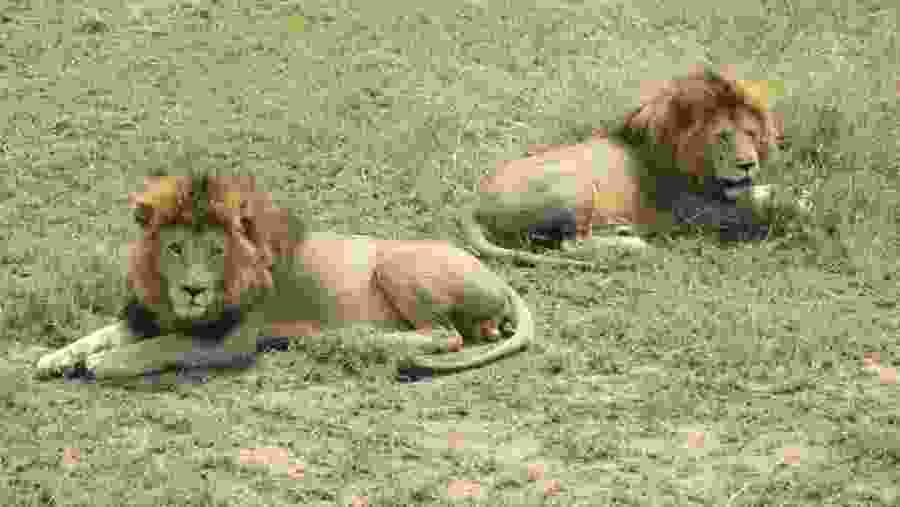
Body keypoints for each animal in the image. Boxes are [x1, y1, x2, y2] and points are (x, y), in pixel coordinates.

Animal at [35, 173, 534, 384]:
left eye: (216, 251)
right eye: (175, 248)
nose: (193, 290)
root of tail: (496, 276)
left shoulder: (234, 340)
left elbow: (159, 347)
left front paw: (103, 363)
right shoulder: (153, 315)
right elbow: (102, 332)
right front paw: (57, 357)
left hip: (396, 262)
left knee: (444, 335)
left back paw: (351, 339)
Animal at [461, 66, 806, 267]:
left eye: (750, 133)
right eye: (722, 136)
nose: (748, 164)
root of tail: (473, 205)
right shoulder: (690, 213)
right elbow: (753, 209)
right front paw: (792, 207)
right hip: (574, 187)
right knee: (570, 245)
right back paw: (632, 243)